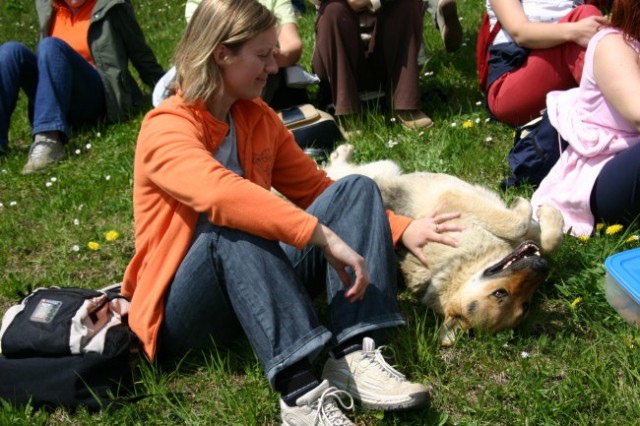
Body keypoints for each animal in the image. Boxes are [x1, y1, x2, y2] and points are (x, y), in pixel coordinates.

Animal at [324, 145, 564, 344]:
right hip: (379, 170)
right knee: (334, 169)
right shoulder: (456, 201)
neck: (464, 264)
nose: (542, 266)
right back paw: (342, 152)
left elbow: (545, 240)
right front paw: (532, 206)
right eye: (500, 293)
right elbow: (518, 224)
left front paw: (548, 217)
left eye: (526, 305)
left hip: (387, 167)